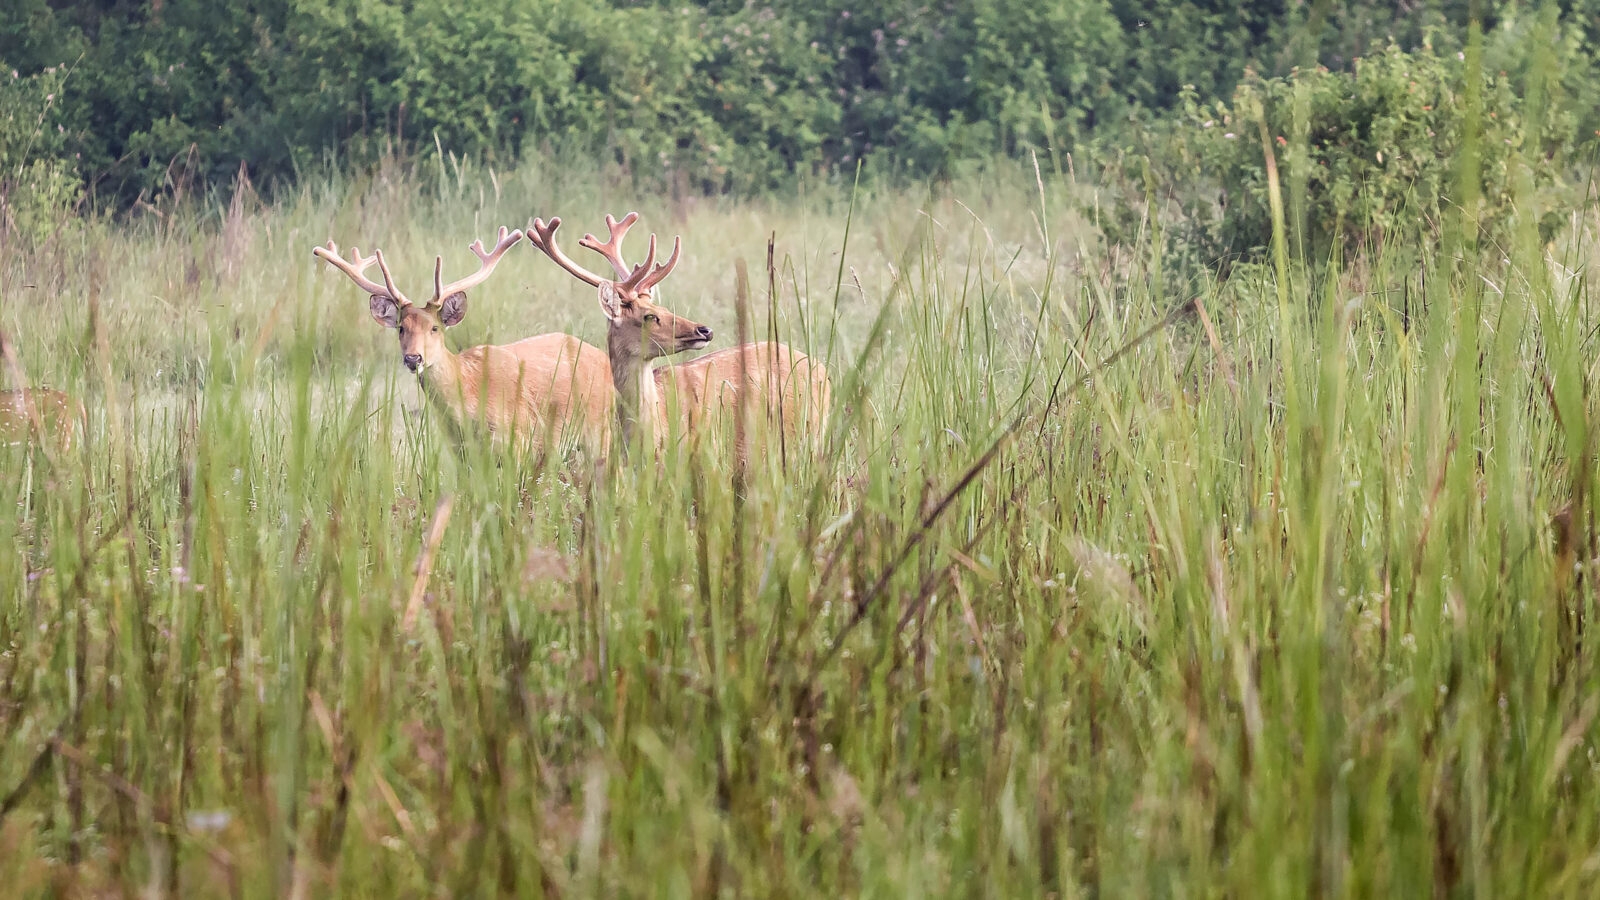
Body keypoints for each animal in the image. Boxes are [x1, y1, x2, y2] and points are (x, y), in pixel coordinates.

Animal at [312, 228, 614, 454]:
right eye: (401, 328)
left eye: (435, 328)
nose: (413, 358)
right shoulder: (461, 452)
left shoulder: (519, 440)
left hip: (599, 431)